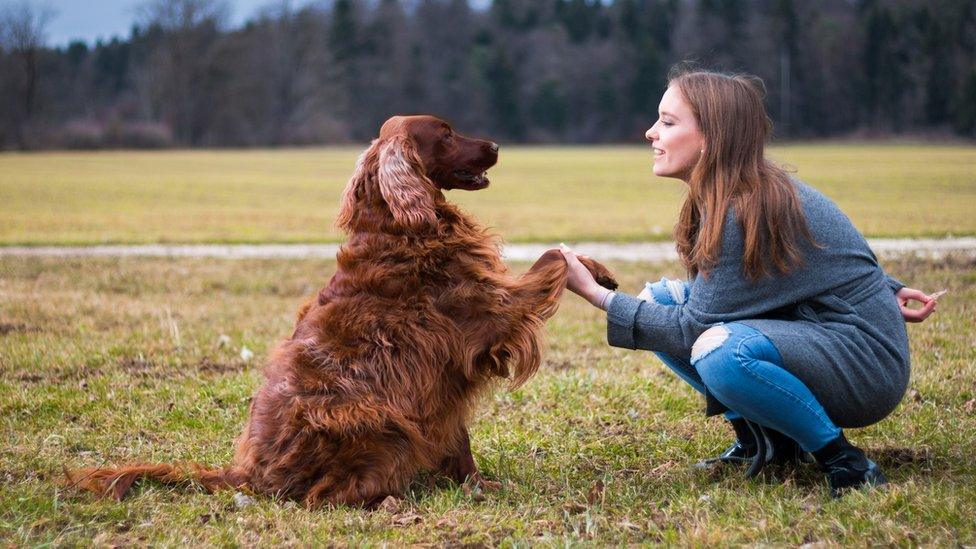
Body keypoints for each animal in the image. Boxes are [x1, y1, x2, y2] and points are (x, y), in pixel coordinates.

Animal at [66, 113, 616, 508]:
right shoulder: (491, 312)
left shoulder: (441, 379)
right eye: (445, 133)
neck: (397, 226)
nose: (498, 146)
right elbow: (551, 258)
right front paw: (588, 268)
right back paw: (389, 500)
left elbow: (459, 443)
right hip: (377, 420)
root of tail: (247, 473)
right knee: (322, 497)